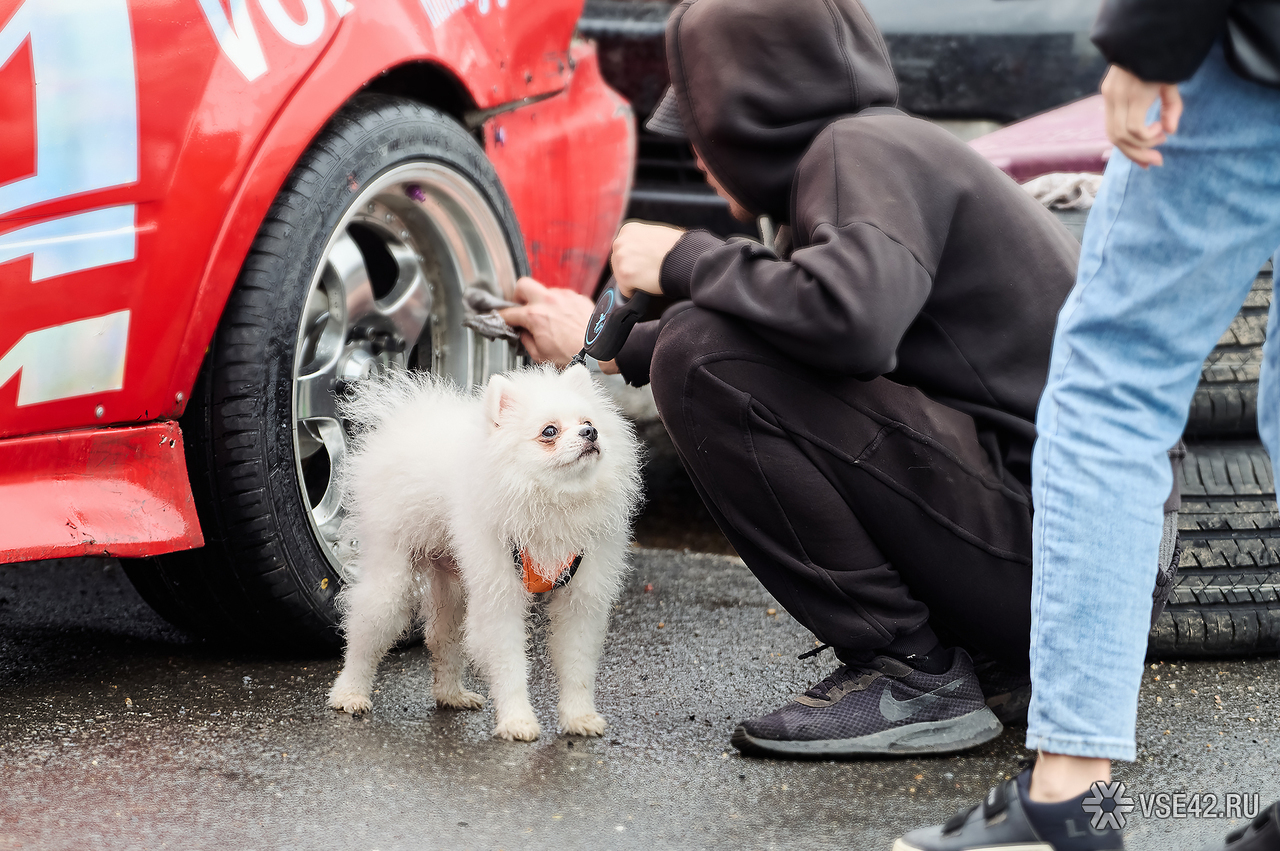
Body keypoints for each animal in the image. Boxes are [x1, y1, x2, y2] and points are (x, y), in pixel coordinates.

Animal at [327, 360, 640, 742]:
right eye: (549, 431)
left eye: (589, 421)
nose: (590, 434)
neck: (554, 502)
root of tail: (405, 415)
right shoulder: (500, 596)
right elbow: (509, 664)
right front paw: (517, 720)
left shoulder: (580, 599)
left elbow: (577, 665)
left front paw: (578, 717)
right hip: (391, 574)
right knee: (365, 630)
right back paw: (349, 694)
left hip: (454, 580)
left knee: (441, 636)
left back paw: (451, 695)